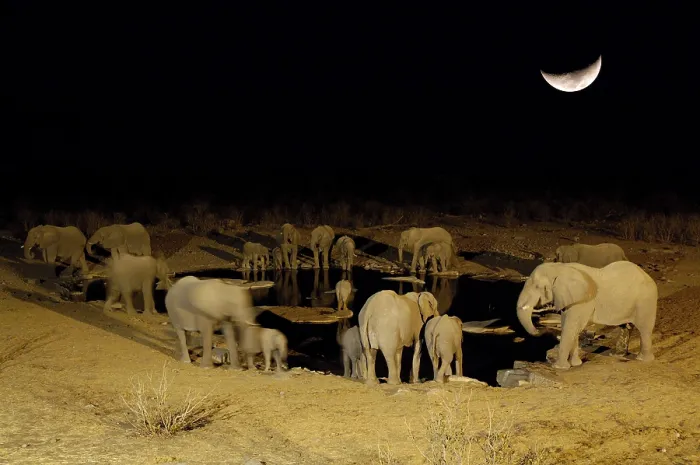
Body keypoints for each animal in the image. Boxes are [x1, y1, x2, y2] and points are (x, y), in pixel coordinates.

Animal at [516, 261, 658, 370]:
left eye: (537, 286)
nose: (537, 331)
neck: (560, 267)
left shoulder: (583, 301)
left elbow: (571, 328)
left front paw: (558, 367)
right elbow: (570, 327)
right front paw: (575, 364)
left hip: (645, 302)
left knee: (644, 329)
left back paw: (643, 360)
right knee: (626, 327)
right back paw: (617, 355)